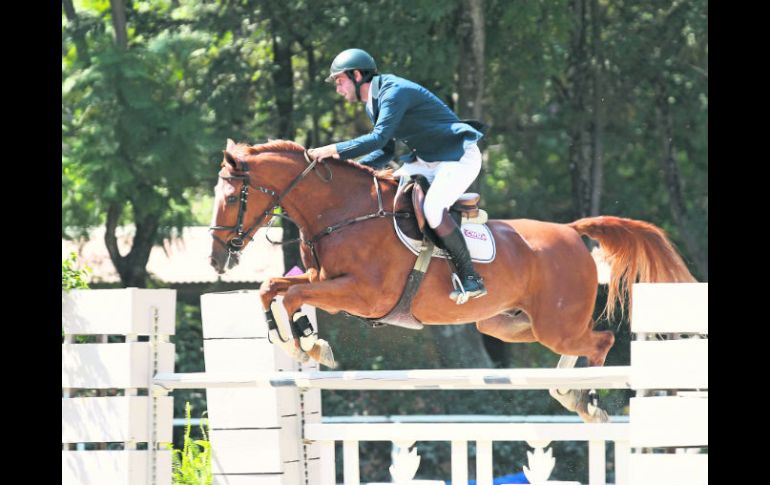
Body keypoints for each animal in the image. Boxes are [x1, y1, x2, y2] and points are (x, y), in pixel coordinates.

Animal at [207, 139, 692, 420]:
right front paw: (301, 340)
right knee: (573, 343)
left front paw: (307, 345)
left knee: (600, 342)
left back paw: (585, 400)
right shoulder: (318, 277)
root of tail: (572, 231)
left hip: (555, 325)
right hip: (510, 324)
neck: (344, 211)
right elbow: (274, 289)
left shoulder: (361, 294)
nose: (216, 258)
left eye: (231, 196)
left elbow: (293, 297)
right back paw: (567, 393)